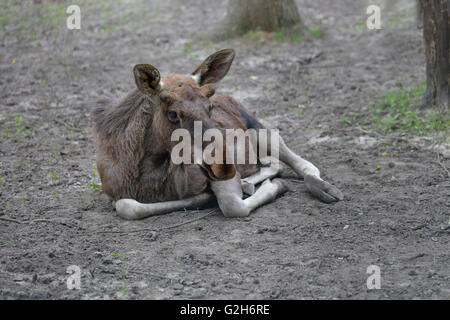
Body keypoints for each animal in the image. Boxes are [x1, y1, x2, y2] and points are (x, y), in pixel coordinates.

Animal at [93, 48, 342, 220]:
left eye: (209, 106)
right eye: (172, 113)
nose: (223, 164)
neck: (144, 172)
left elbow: (233, 205)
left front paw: (273, 187)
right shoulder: (114, 195)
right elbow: (129, 206)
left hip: (263, 132)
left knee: (303, 164)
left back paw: (323, 188)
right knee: (273, 164)